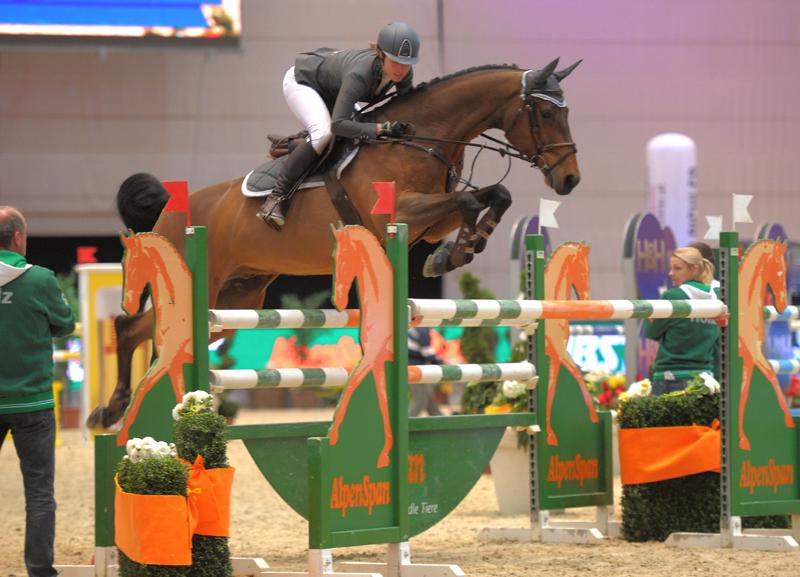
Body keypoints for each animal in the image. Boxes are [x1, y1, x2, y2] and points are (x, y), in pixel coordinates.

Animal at [86, 58, 580, 428]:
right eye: (547, 114)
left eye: (565, 111)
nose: (570, 180)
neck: (421, 140)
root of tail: (170, 210)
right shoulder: (401, 213)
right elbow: (468, 198)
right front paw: (456, 252)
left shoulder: (430, 221)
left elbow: (493, 196)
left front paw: (456, 251)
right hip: (199, 290)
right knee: (134, 328)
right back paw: (116, 411)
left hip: (235, 300)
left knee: (140, 330)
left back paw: (113, 410)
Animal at [540, 241, 596, 444]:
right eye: (582, 270)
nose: (587, 299)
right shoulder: (560, 352)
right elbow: (577, 373)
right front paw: (594, 416)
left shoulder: (555, 356)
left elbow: (551, 390)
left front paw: (550, 434)